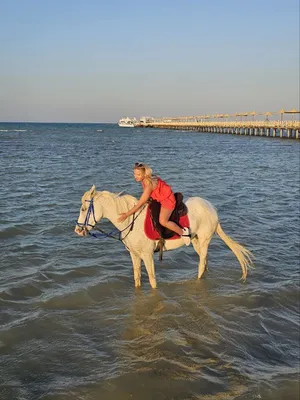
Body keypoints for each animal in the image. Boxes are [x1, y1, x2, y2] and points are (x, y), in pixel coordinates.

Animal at [75, 186, 253, 290]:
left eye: (83, 209)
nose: (77, 230)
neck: (131, 221)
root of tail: (212, 207)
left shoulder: (147, 255)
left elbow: (152, 281)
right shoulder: (134, 255)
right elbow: (137, 278)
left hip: (203, 241)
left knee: (201, 265)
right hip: (197, 242)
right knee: (205, 262)